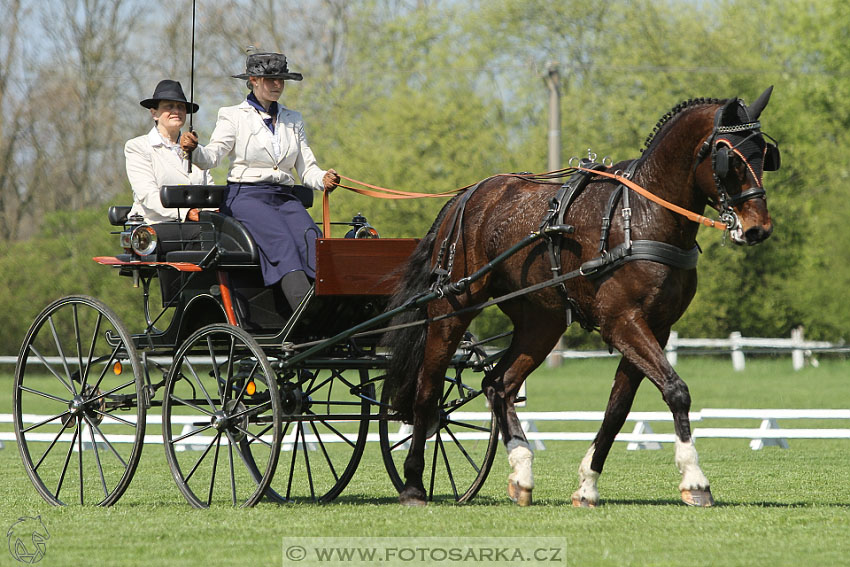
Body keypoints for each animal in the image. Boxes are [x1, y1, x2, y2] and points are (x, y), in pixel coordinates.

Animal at [380, 86, 780, 508]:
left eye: (764, 154)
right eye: (728, 158)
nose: (758, 229)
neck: (640, 217)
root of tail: (467, 196)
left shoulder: (656, 327)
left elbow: (618, 408)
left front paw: (588, 484)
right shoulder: (621, 321)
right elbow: (676, 390)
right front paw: (695, 479)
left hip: (542, 322)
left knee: (498, 385)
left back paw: (521, 473)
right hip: (451, 307)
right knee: (428, 389)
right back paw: (413, 483)